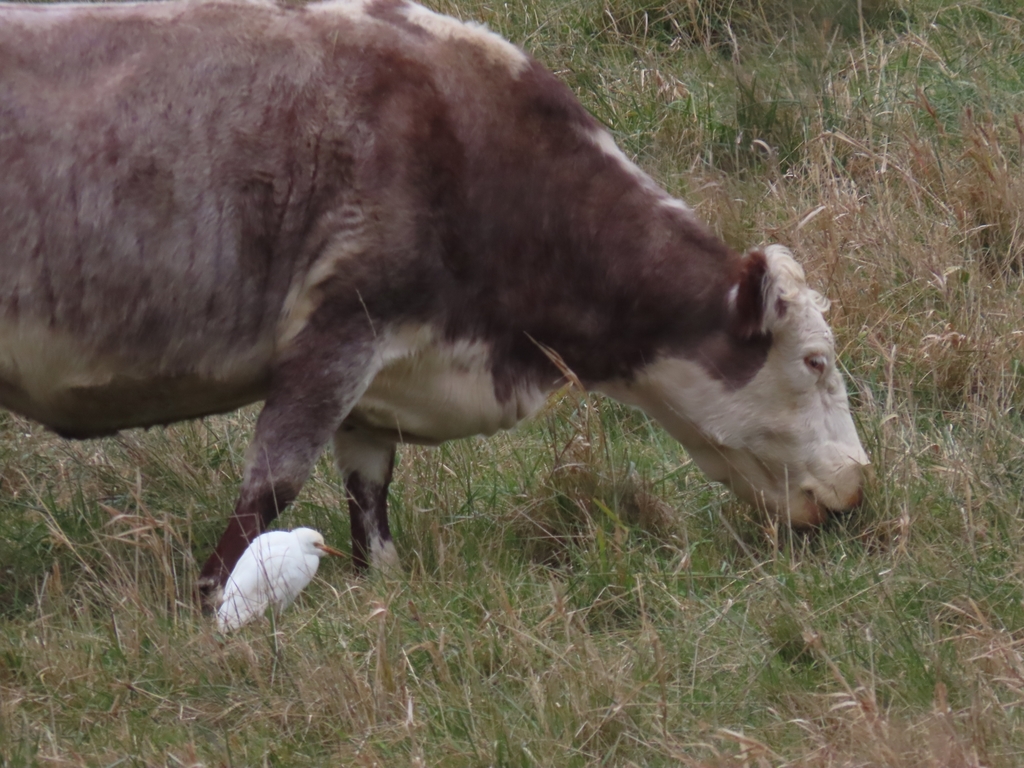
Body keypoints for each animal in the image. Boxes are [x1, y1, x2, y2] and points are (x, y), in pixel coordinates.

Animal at [0, 0, 869, 605]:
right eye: (815, 361)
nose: (857, 482)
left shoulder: (379, 370)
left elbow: (368, 486)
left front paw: (380, 579)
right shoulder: (340, 330)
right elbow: (273, 480)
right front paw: (212, 596)